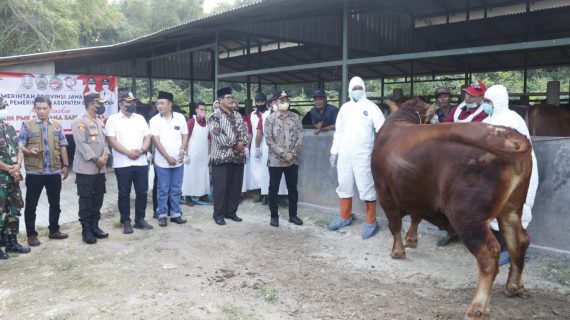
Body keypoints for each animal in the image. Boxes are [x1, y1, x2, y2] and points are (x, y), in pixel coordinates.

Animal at [370, 97, 532, 320]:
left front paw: (397, 251)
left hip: (467, 215)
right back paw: (514, 286)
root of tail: (509, 137)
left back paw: (477, 307)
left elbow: (394, 224)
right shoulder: (415, 192)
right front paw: (411, 240)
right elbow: (415, 216)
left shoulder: (384, 191)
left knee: (489, 253)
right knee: (518, 241)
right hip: (511, 209)